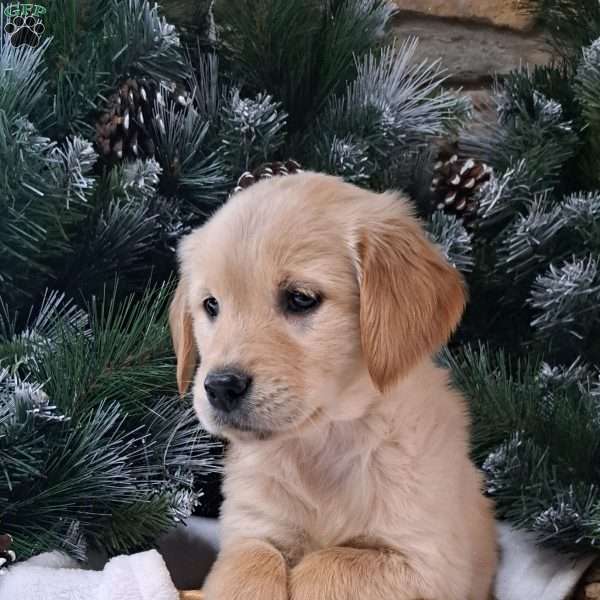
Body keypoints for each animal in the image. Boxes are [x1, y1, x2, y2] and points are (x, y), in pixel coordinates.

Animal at [170, 171, 496, 596]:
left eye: (300, 298)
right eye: (211, 305)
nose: (221, 387)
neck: (323, 446)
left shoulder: (428, 562)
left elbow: (327, 562)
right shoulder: (251, 528)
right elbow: (253, 561)